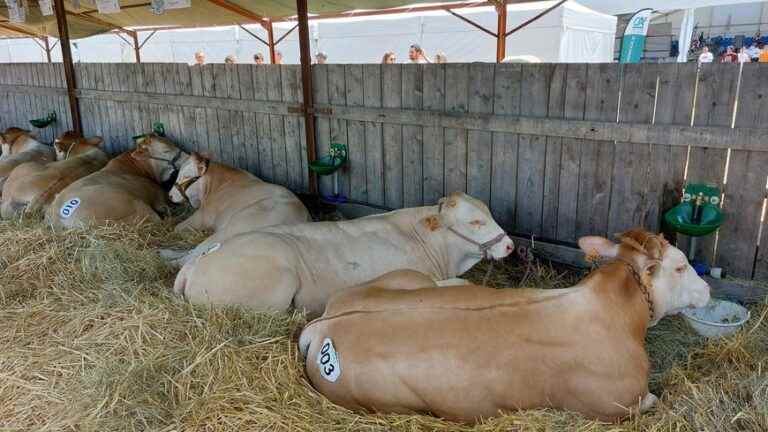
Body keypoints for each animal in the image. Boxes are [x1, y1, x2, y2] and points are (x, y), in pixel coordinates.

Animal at [46, 134, 188, 230]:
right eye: (166, 150)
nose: (187, 157)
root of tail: (57, 218)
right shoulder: (159, 197)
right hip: (138, 206)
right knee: (161, 221)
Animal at [159, 152, 312, 266]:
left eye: (186, 176)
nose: (170, 195)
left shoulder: (202, 216)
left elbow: (177, 227)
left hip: (233, 227)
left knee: (194, 254)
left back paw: (167, 260)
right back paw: (164, 253)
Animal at [298, 230, 708, 422]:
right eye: (681, 265)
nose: (706, 289)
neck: (617, 312)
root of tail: (320, 328)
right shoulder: (621, 403)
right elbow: (654, 399)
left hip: (402, 279)